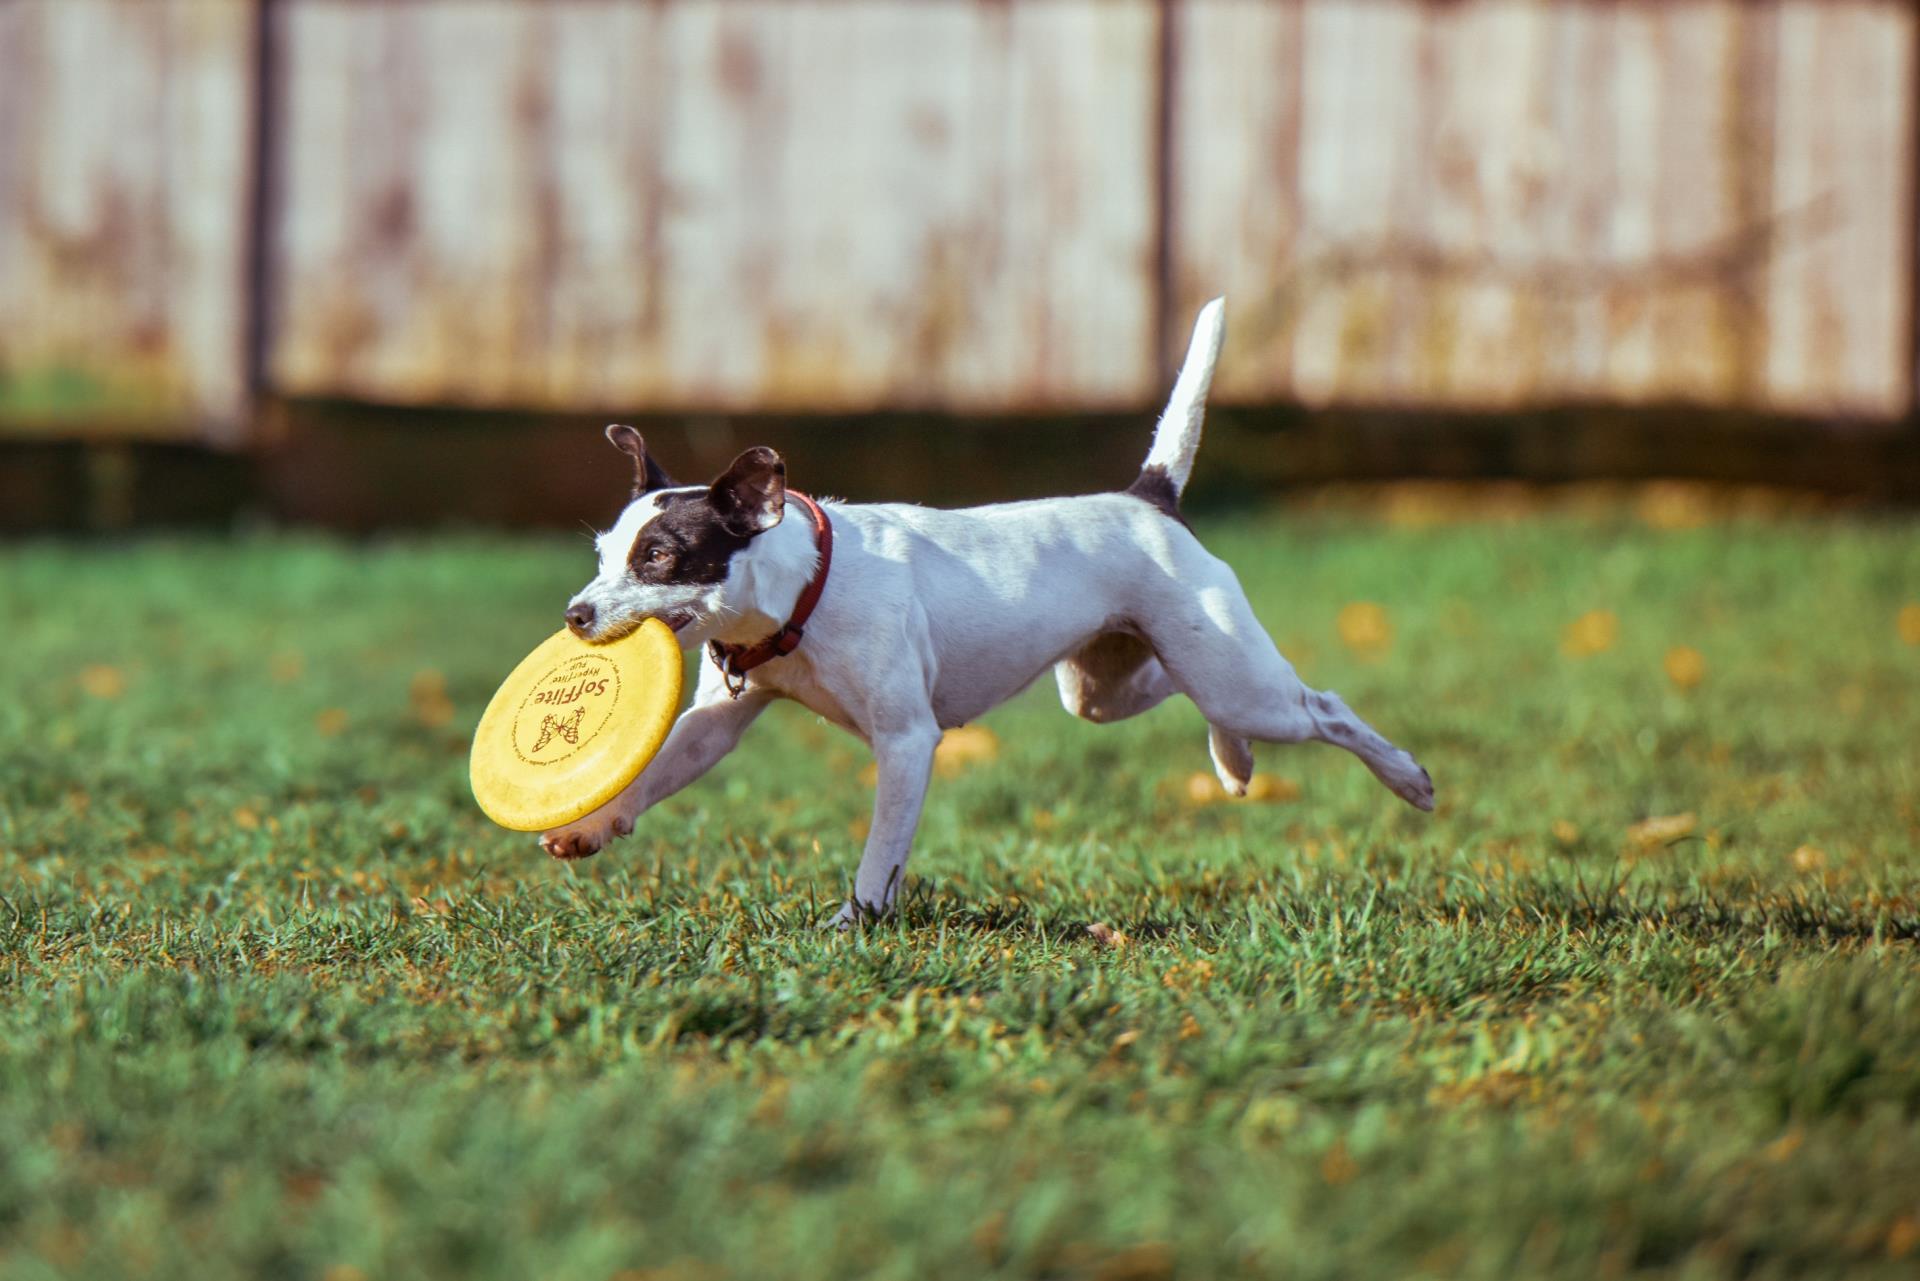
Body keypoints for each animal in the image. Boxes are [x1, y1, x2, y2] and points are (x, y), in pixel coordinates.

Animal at [537, 301, 1428, 921]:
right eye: (602, 554)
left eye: (659, 557)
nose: (576, 614)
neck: (804, 592)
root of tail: (1148, 499)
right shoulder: (715, 722)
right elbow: (656, 771)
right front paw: (594, 824)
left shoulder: (906, 742)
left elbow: (880, 852)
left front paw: (854, 922)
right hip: (1106, 686)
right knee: (1183, 692)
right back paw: (1232, 760)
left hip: (1240, 680)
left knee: (1323, 707)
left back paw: (1406, 777)